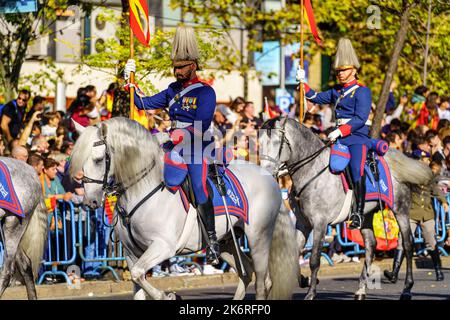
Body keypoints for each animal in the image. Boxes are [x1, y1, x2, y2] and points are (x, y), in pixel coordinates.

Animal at [71, 117, 298, 300]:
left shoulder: (163, 246)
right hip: (227, 242)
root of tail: (269, 176)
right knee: (246, 272)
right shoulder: (131, 253)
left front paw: (168, 296)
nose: (90, 202)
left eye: (99, 159)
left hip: (259, 238)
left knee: (262, 282)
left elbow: (137, 274)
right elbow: (137, 280)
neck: (141, 188)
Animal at [260, 117, 436, 300]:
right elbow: (294, 256)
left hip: (400, 211)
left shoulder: (320, 223)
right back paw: (361, 290)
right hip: (366, 215)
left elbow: (314, 259)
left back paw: (407, 288)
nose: (265, 174)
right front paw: (304, 280)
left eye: (276, 142)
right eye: (260, 142)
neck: (312, 170)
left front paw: (310, 292)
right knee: (371, 245)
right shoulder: (303, 223)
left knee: (407, 244)